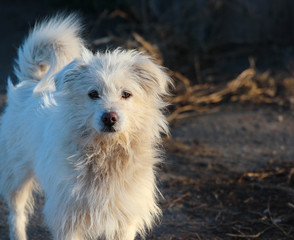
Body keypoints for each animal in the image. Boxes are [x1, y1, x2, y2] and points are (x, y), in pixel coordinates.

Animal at [0, 14, 171, 239]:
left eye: (126, 94)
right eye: (93, 94)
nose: (109, 118)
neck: (105, 152)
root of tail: (32, 82)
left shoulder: (124, 219)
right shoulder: (68, 218)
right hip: (16, 174)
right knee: (17, 214)